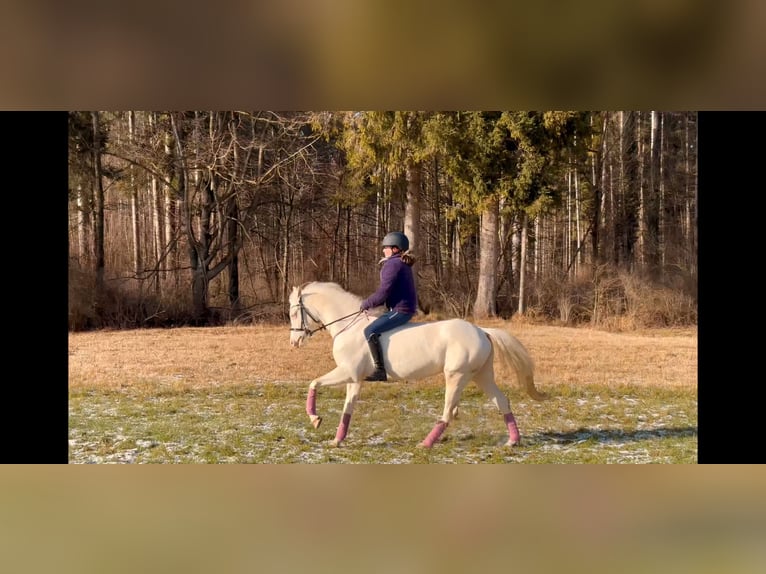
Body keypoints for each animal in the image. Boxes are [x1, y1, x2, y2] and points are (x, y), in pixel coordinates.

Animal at [286, 282, 544, 450]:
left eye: (294, 313)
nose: (294, 342)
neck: (348, 327)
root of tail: (482, 331)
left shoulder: (347, 373)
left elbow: (314, 383)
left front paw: (315, 419)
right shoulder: (354, 379)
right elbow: (347, 410)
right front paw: (337, 439)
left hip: (456, 376)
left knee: (448, 412)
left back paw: (425, 443)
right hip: (481, 376)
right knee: (501, 401)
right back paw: (512, 441)